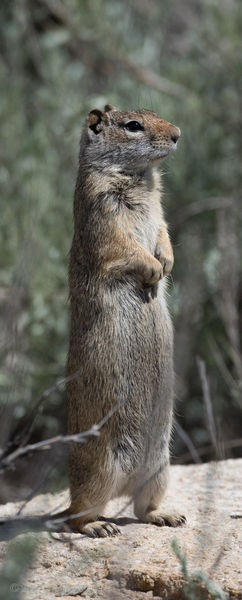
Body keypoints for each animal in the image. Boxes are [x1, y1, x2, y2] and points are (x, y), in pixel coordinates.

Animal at [65, 105, 185, 536]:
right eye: (133, 126)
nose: (178, 134)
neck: (139, 178)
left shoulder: (160, 214)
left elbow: (164, 233)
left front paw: (166, 262)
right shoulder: (104, 216)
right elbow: (125, 249)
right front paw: (152, 268)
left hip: (161, 468)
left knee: (142, 507)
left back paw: (167, 515)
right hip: (100, 469)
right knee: (77, 513)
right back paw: (97, 527)